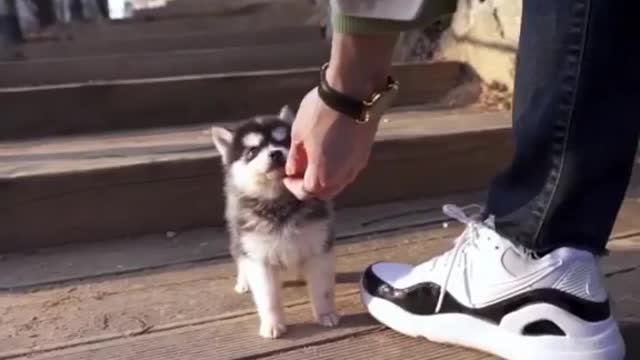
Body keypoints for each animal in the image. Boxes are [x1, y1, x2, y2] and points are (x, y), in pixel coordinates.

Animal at [211, 105, 340, 338]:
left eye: (285, 141)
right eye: (252, 151)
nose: (276, 153)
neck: (280, 202)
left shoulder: (318, 247)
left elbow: (322, 288)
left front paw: (325, 313)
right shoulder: (258, 256)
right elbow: (268, 297)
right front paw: (272, 324)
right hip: (238, 237)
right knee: (240, 258)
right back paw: (243, 282)